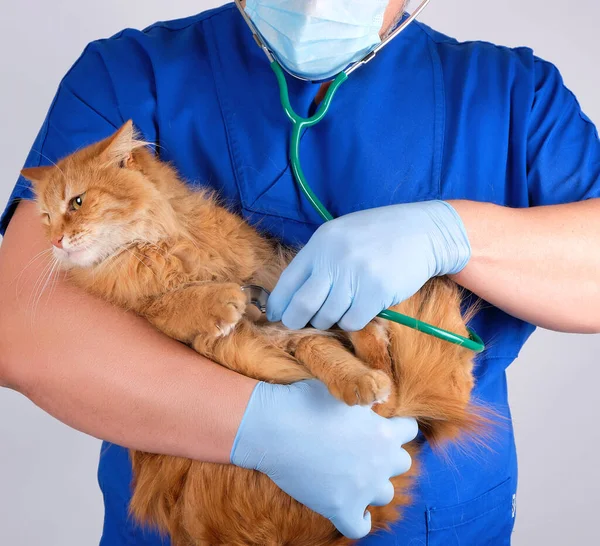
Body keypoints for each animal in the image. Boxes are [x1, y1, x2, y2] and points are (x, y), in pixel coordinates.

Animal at [22, 122, 482, 544]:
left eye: (77, 202)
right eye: (45, 217)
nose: (56, 240)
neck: (157, 249)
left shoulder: (283, 304)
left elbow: (328, 351)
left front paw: (361, 374)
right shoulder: (156, 316)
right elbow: (183, 305)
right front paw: (220, 301)